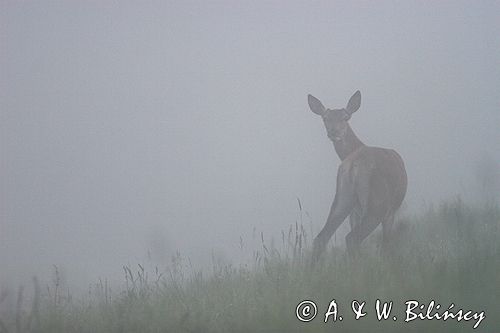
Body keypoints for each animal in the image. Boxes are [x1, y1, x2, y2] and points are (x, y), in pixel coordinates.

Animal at [308, 90, 406, 260]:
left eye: (345, 117)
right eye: (325, 118)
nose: (334, 132)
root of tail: (353, 166)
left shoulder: (354, 212)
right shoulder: (391, 211)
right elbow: (387, 242)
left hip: (342, 199)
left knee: (321, 238)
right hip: (377, 204)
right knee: (352, 238)